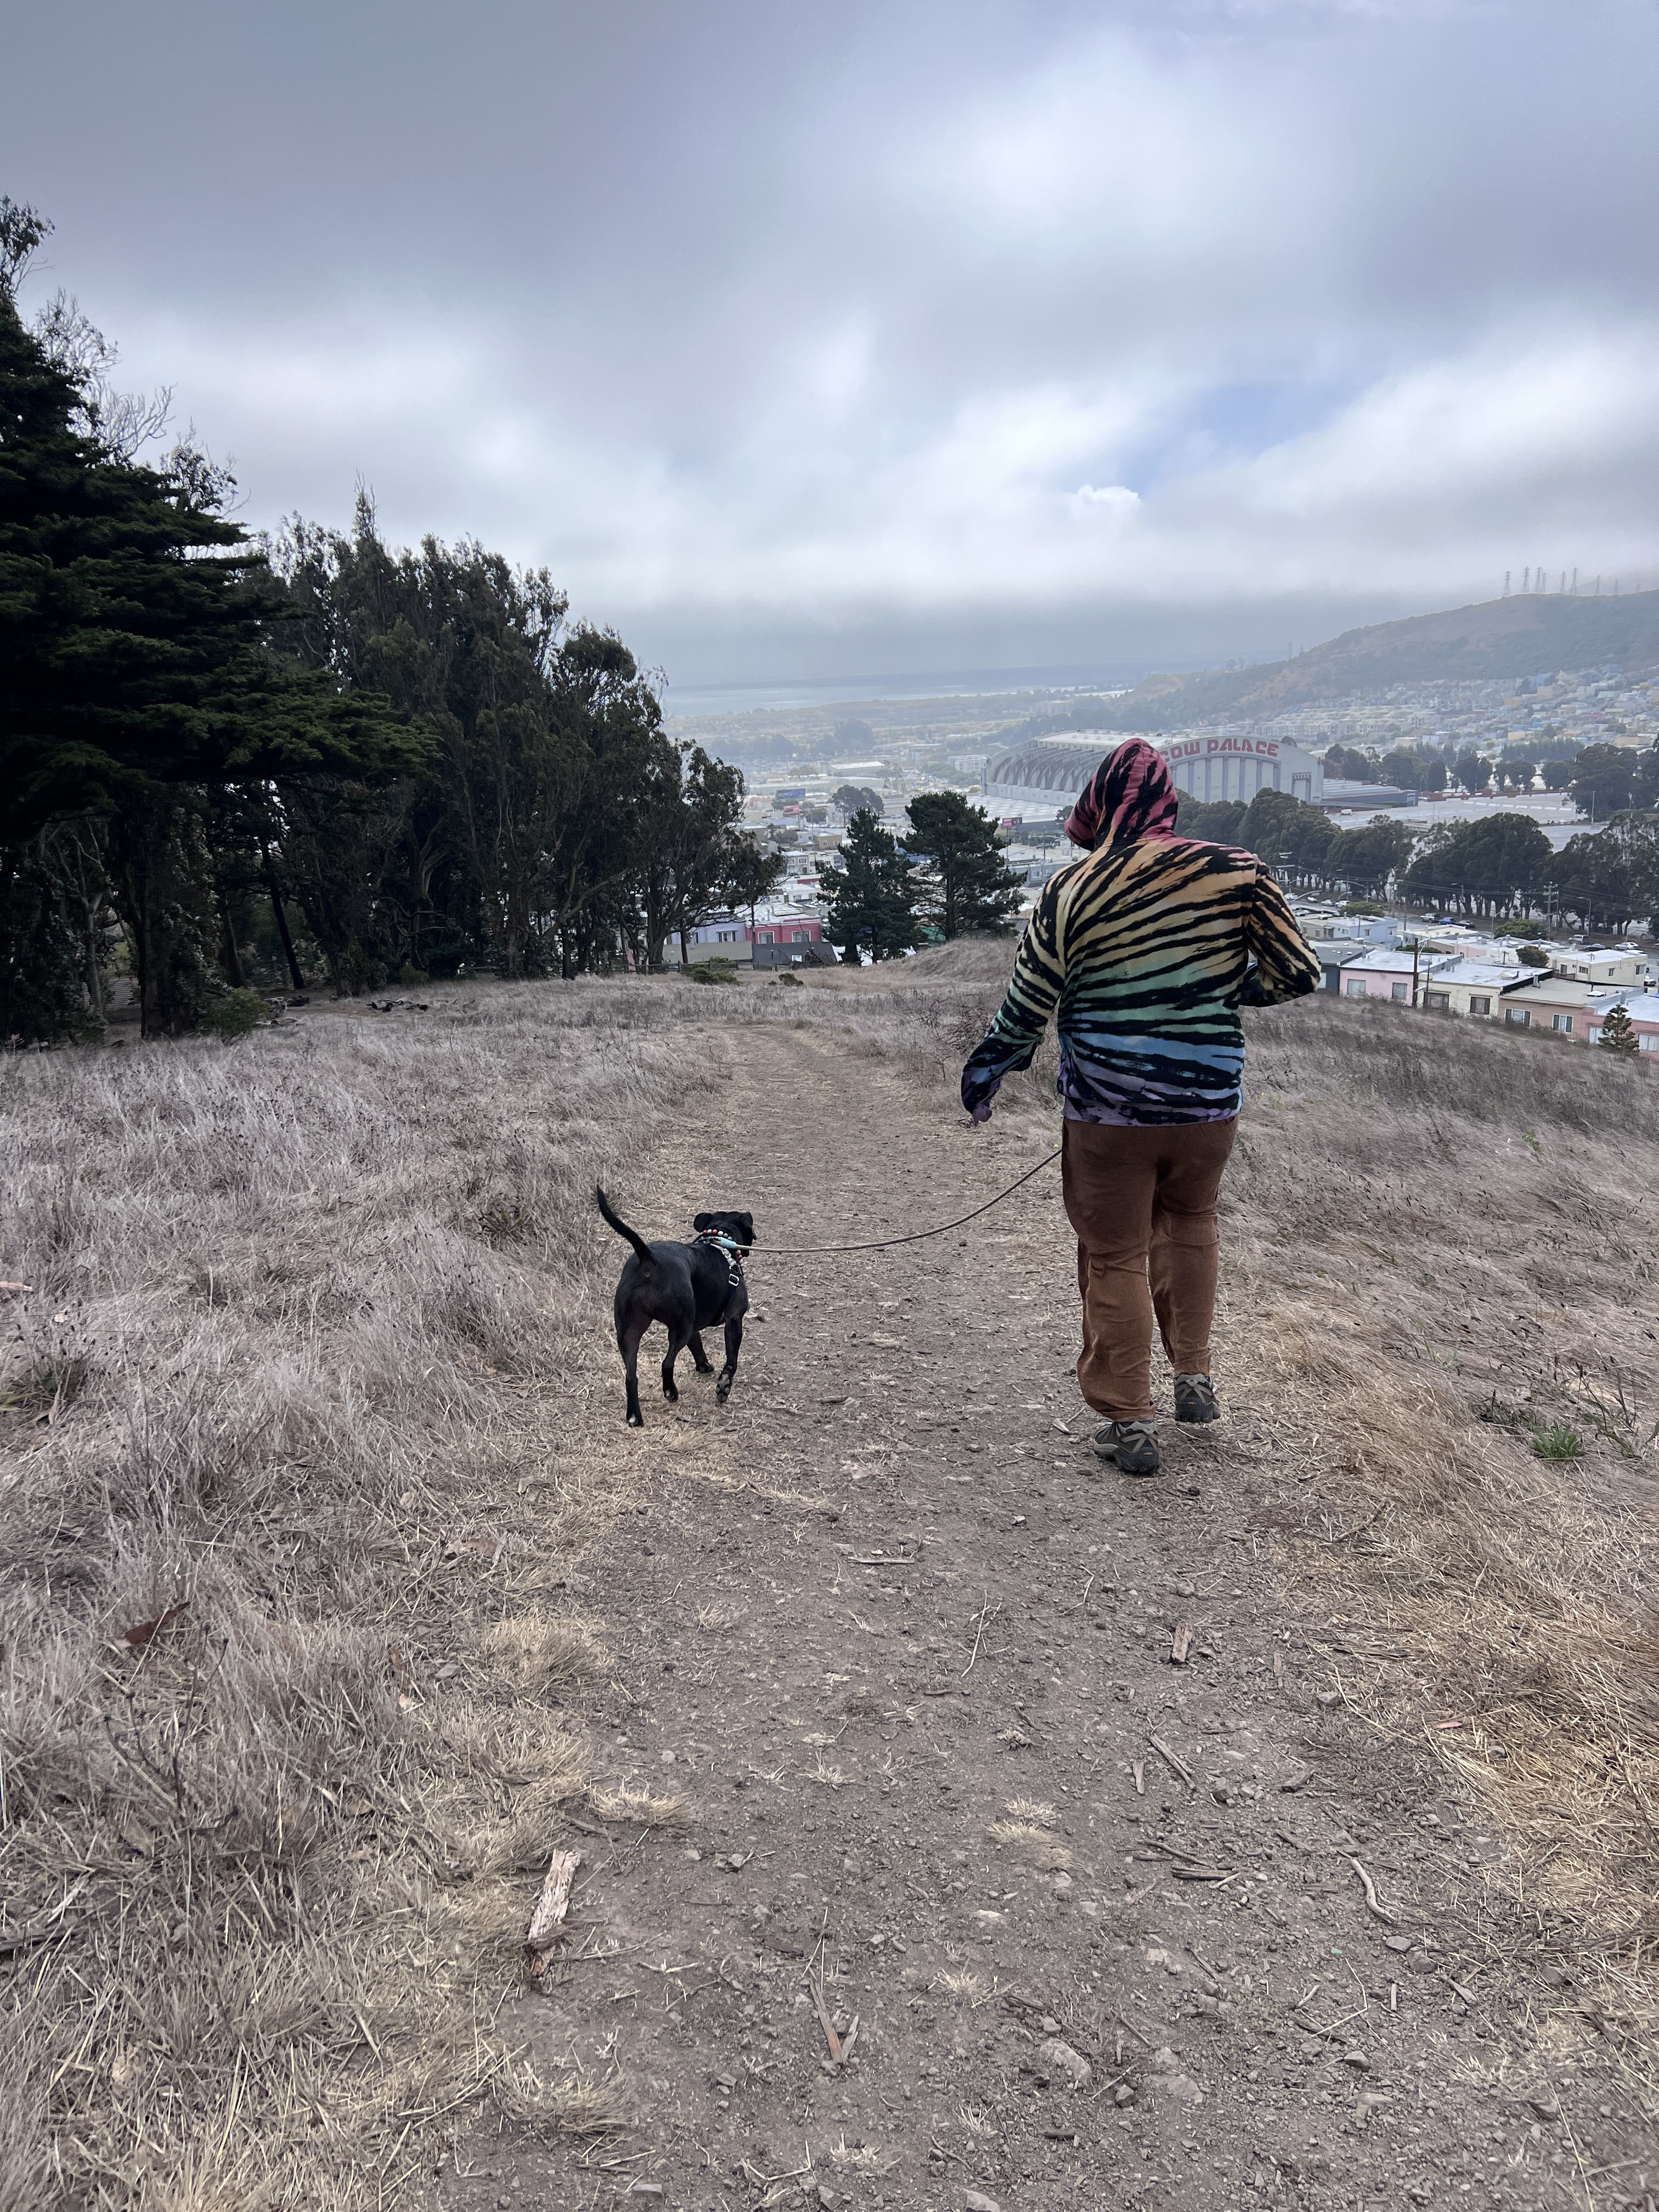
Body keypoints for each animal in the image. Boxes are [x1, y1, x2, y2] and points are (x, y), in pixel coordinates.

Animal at [596, 1188, 755, 1428]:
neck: (719, 1241)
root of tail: (650, 1261)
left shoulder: (694, 1327)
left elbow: (698, 1347)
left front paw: (704, 1366)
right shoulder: (734, 1319)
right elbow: (731, 1361)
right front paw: (724, 1386)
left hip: (629, 1332)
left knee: (631, 1375)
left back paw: (635, 1416)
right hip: (680, 1328)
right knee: (667, 1364)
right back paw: (671, 1392)